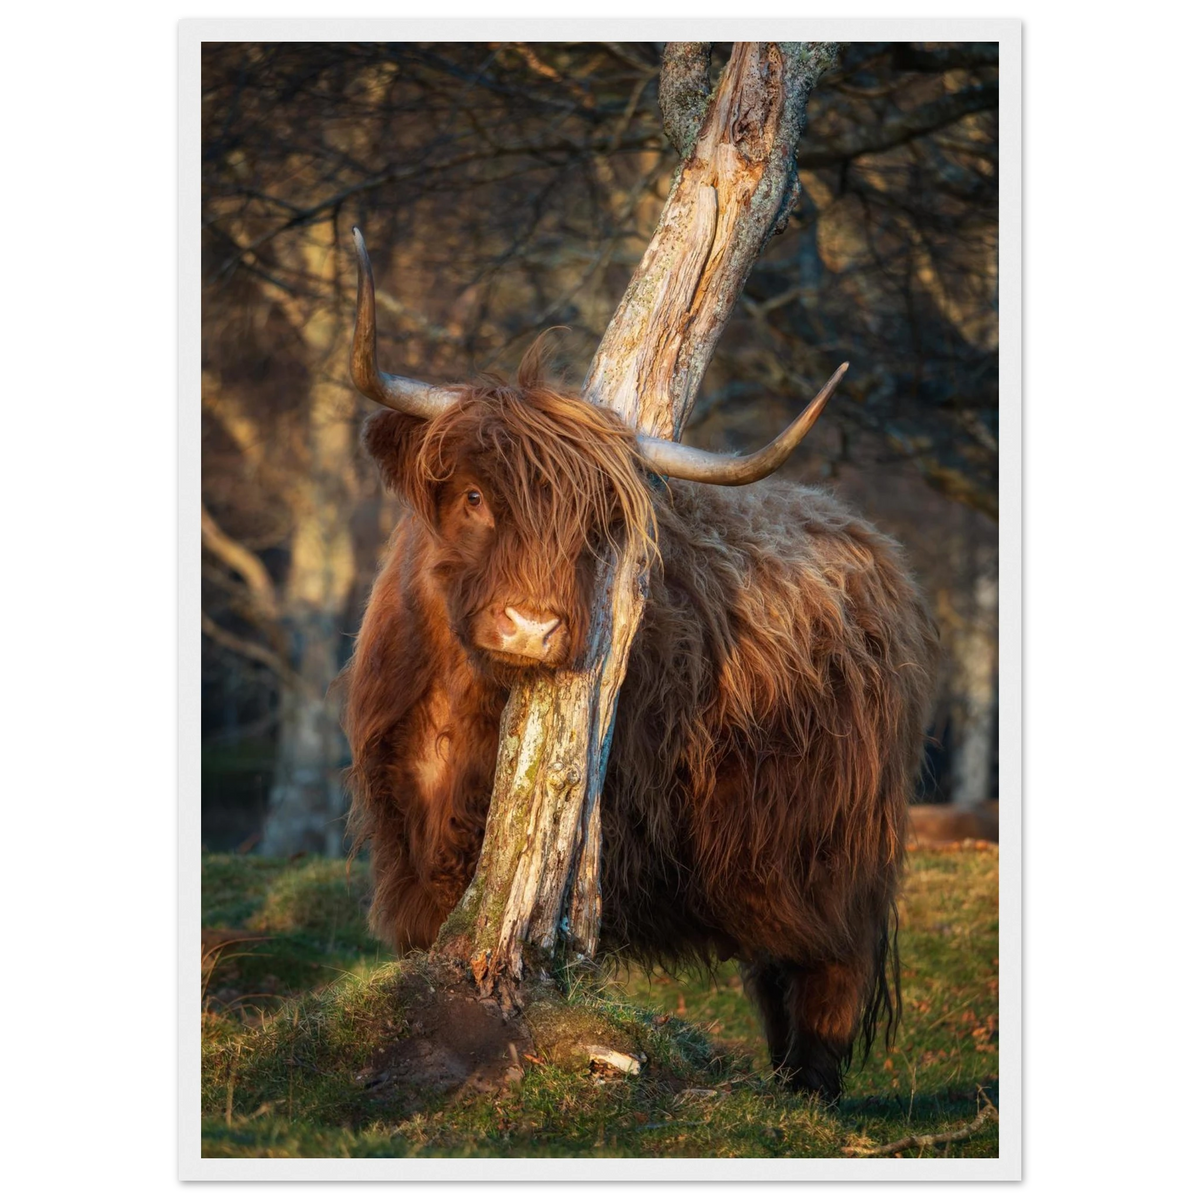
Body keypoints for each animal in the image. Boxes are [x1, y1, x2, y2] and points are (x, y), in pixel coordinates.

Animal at [340, 230, 940, 1100]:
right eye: (476, 496)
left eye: (595, 525)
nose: (532, 628)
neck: (454, 708)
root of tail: (871, 543)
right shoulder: (405, 839)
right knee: (776, 975)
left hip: (837, 849)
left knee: (828, 976)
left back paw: (809, 1097)